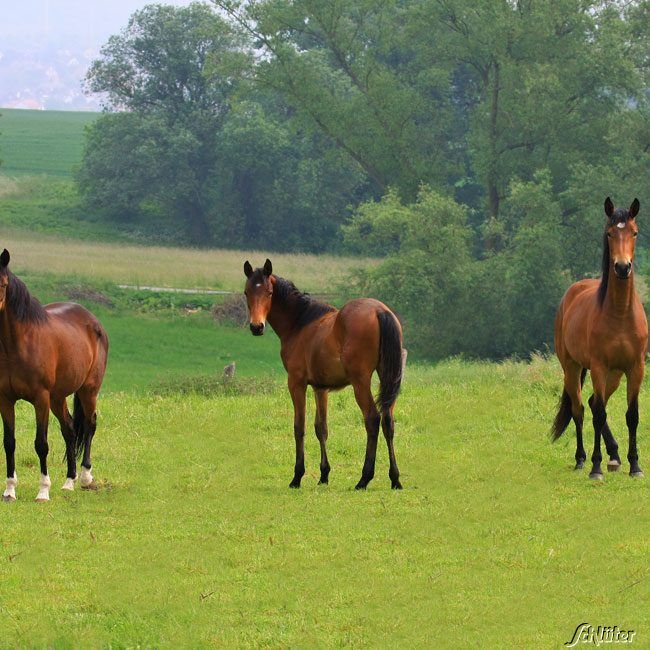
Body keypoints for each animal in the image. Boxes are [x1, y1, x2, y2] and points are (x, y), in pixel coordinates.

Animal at [0, 249, 109, 502]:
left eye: (4, 283)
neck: (17, 344)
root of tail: (92, 320)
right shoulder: (5, 399)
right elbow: (9, 442)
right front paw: (9, 490)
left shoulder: (40, 398)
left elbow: (41, 443)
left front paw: (43, 491)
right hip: (58, 397)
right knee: (69, 429)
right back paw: (69, 481)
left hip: (88, 390)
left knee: (89, 425)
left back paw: (85, 477)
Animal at [244, 258, 404, 486]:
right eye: (247, 292)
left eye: (269, 292)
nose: (256, 326)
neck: (300, 323)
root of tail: (379, 311)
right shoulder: (320, 388)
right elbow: (321, 428)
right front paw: (324, 474)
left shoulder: (296, 383)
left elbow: (299, 427)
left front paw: (297, 476)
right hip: (387, 377)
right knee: (388, 421)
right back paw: (395, 479)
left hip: (360, 382)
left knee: (372, 419)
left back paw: (364, 478)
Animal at [548, 196, 644, 476]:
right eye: (610, 233)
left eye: (634, 232)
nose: (622, 267)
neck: (620, 313)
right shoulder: (599, 367)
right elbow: (600, 414)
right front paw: (596, 468)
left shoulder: (635, 368)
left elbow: (632, 415)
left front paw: (635, 465)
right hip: (572, 367)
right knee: (580, 409)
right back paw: (582, 458)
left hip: (615, 374)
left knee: (591, 403)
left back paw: (614, 455)